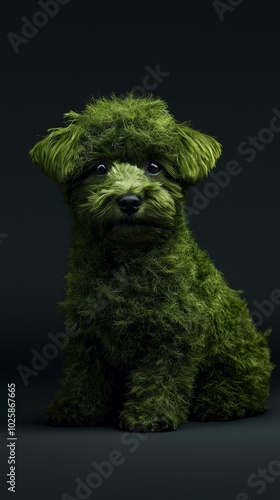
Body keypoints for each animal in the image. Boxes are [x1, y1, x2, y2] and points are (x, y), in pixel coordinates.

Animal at [30, 95, 274, 432]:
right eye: (100, 168)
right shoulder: (86, 332)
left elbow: (160, 376)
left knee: (245, 386)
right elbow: (84, 372)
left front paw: (150, 415)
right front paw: (75, 407)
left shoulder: (174, 330)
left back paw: (221, 400)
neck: (127, 260)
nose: (129, 200)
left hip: (237, 357)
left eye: (154, 167)